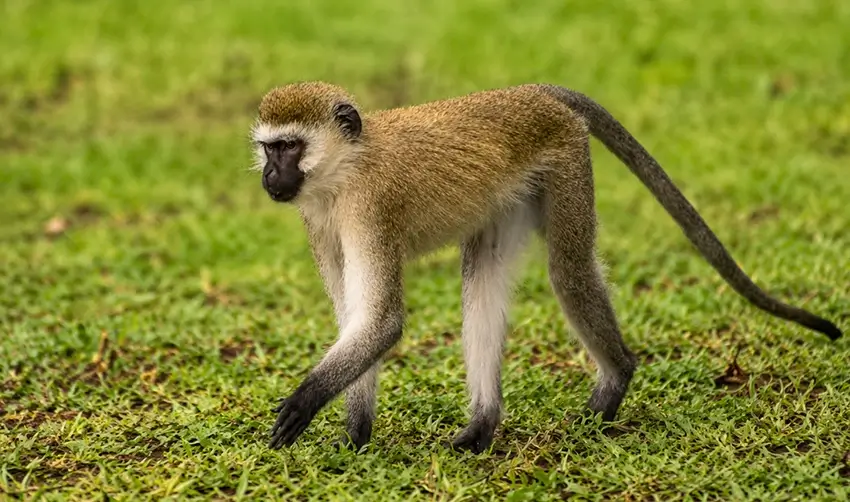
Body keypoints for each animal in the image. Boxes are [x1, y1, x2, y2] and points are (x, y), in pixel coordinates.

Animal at [249, 81, 842, 454]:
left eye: (291, 146)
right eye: (270, 149)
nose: (270, 177)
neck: (346, 170)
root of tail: (531, 93)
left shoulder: (371, 209)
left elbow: (381, 320)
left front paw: (305, 403)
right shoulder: (319, 222)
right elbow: (358, 319)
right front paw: (354, 438)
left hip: (566, 158)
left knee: (570, 270)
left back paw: (614, 382)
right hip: (509, 193)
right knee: (484, 276)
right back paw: (483, 427)